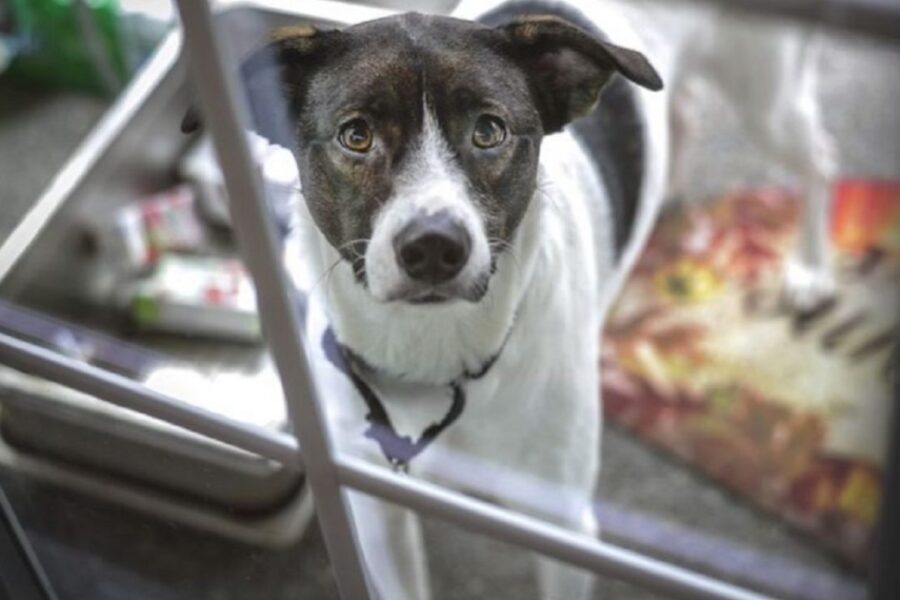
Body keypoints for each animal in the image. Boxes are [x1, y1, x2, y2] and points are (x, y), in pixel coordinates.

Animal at [202, 0, 668, 596]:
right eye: (356, 135)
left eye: (489, 131)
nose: (433, 247)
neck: (433, 352)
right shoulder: (375, 501)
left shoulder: (562, 528)